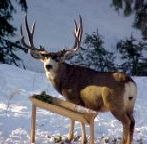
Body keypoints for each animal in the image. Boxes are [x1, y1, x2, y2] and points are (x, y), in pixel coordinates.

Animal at [20, 16, 137, 144]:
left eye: (57, 58)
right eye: (45, 58)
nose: (48, 66)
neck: (65, 78)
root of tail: (129, 82)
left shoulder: (74, 99)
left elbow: (75, 118)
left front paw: (71, 138)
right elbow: (79, 119)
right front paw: (78, 138)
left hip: (115, 104)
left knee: (126, 122)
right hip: (130, 105)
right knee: (132, 122)